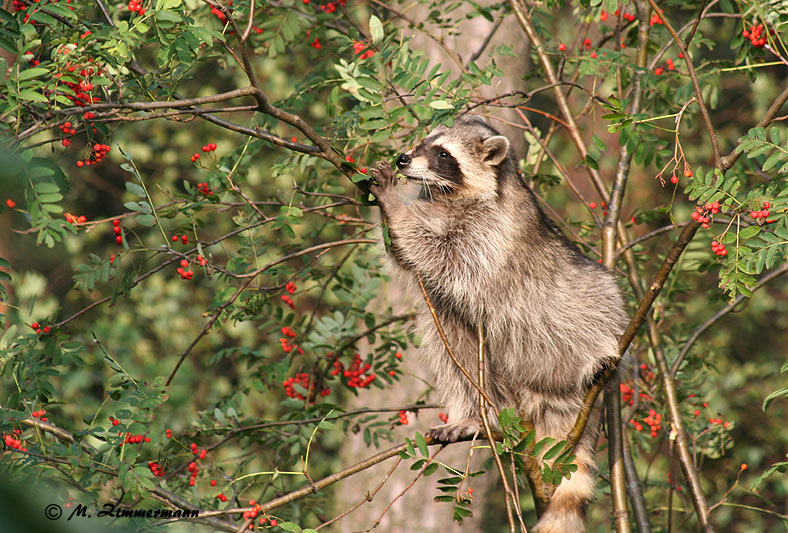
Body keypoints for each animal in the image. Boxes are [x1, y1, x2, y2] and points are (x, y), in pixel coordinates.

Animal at [370, 117, 628, 532]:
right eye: (423, 141)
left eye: (443, 154)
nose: (403, 158)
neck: (453, 196)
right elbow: (410, 258)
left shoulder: (490, 233)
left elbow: (443, 253)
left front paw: (393, 204)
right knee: (455, 356)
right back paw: (476, 415)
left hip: (582, 322)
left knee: (593, 308)